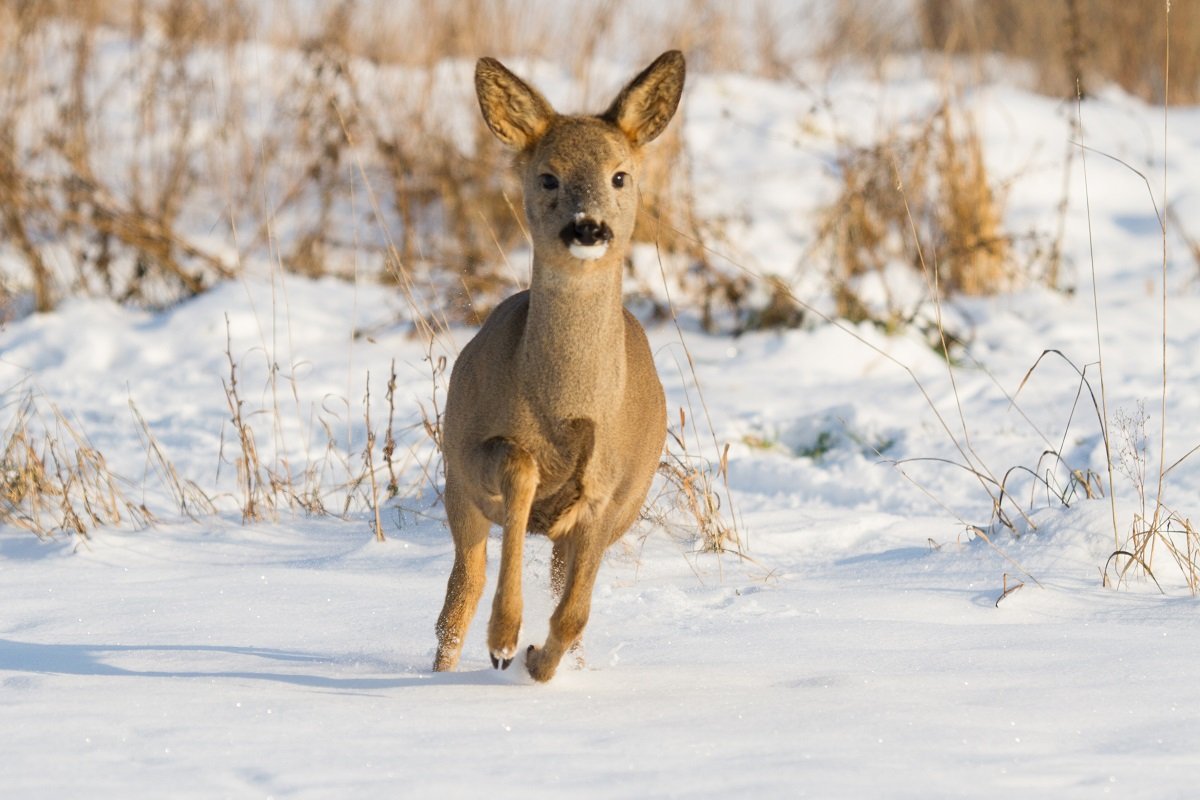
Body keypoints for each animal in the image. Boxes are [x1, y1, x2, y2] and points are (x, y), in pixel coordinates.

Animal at [434, 51, 686, 681]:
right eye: (548, 176)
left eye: (620, 175)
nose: (588, 227)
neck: (567, 407)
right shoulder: (473, 453)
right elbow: (520, 470)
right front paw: (504, 641)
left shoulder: (609, 492)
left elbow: (574, 613)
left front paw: (537, 662)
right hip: (456, 485)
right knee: (461, 592)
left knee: (555, 588)